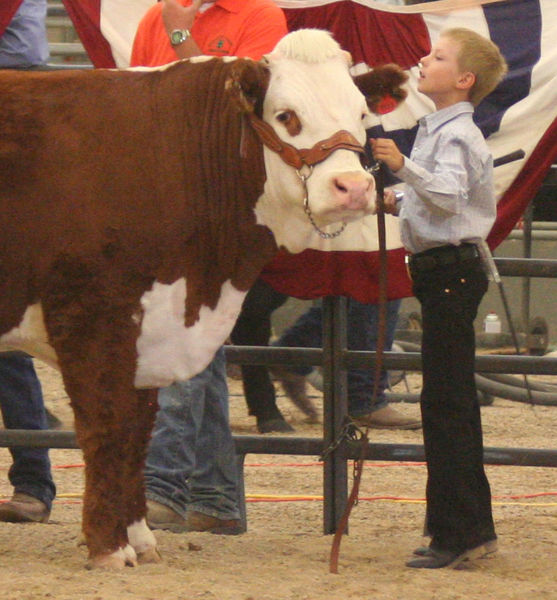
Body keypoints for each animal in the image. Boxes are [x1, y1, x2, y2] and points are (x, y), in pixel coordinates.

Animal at [0, 30, 404, 568]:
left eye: (360, 113)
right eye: (286, 116)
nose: (353, 188)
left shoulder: (154, 328)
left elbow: (138, 430)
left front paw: (140, 537)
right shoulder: (92, 314)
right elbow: (107, 425)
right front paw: (109, 548)